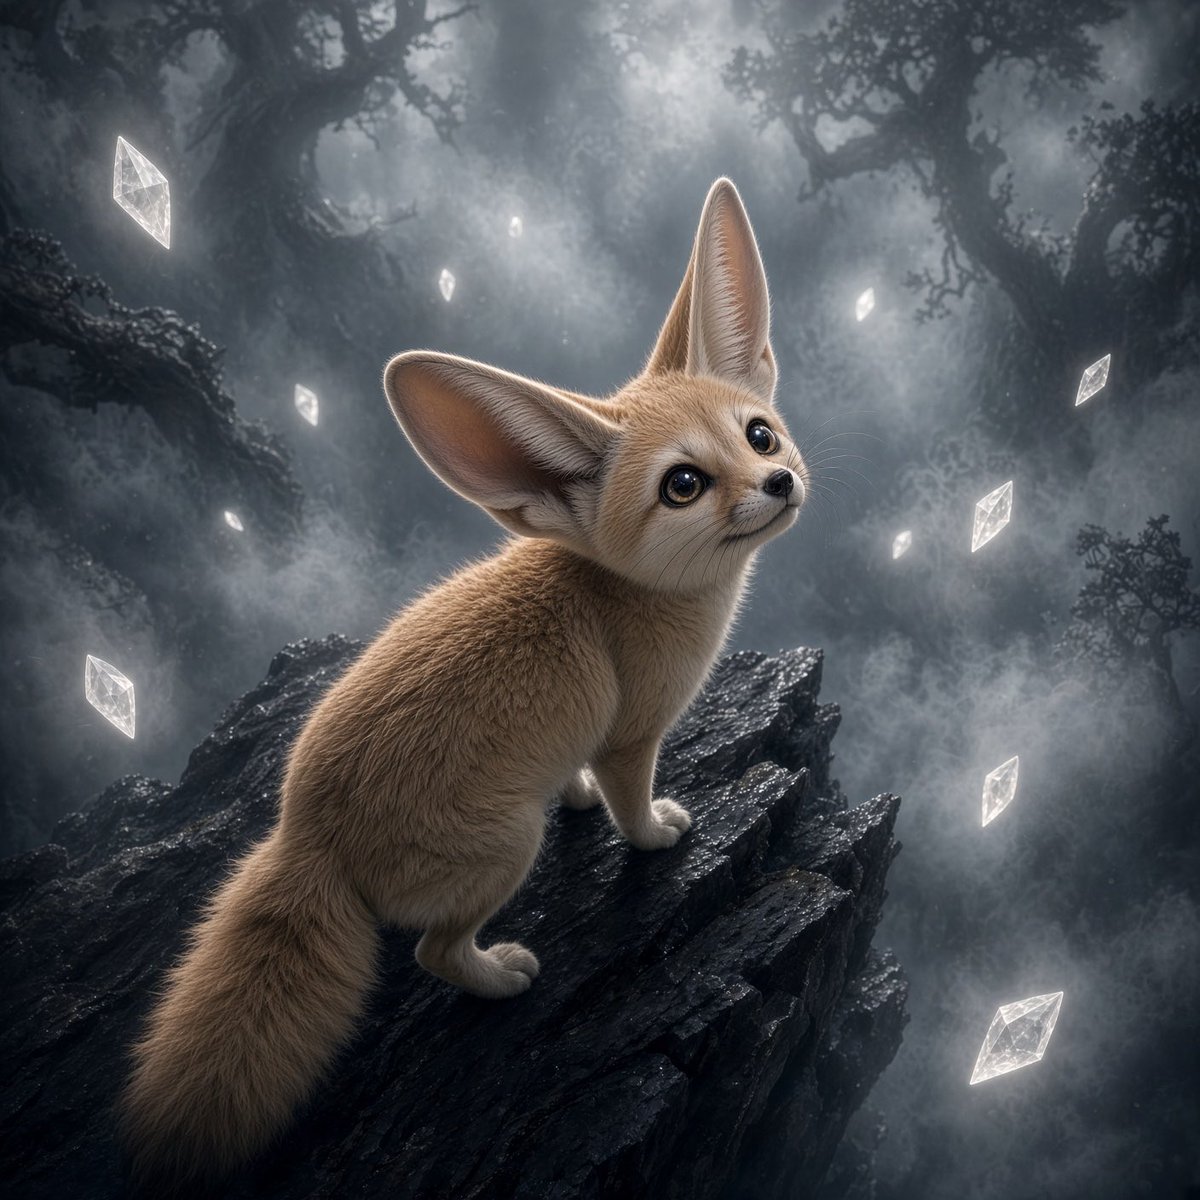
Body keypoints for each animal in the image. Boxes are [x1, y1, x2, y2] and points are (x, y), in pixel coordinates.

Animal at [118, 177, 808, 1188]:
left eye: (759, 434)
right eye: (683, 484)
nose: (780, 482)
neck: (617, 588)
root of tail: (303, 831)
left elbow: (581, 781)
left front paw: (577, 798)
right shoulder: (633, 734)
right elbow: (632, 804)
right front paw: (653, 834)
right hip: (504, 849)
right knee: (435, 952)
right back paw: (501, 974)